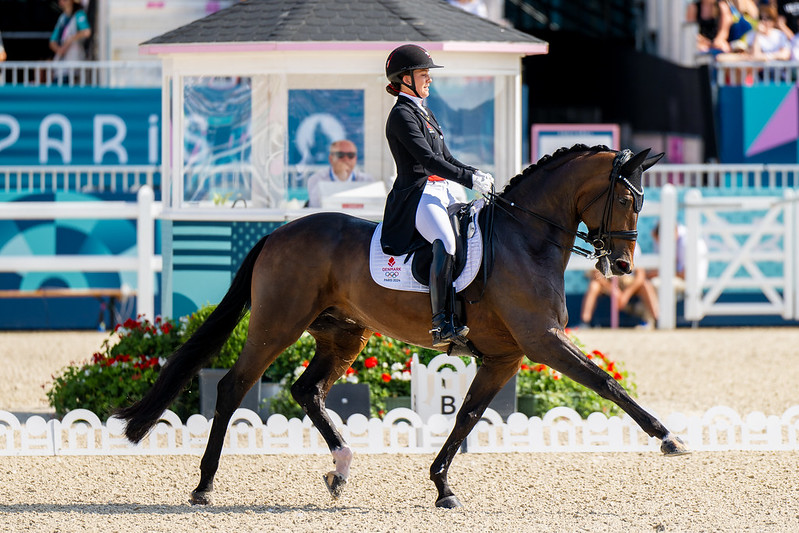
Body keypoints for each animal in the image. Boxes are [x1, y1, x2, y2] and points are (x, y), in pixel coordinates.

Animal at [115, 144, 692, 508]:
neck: (525, 238)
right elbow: (606, 383)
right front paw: (668, 438)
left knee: (307, 391)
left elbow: (467, 416)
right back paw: (204, 486)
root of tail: (278, 233)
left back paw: (340, 469)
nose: (622, 266)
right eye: (627, 198)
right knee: (234, 387)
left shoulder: (507, 356)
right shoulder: (541, 341)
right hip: (276, 326)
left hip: (345, 334)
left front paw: (442, 486)